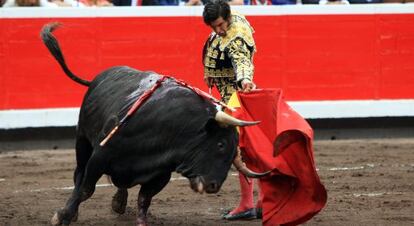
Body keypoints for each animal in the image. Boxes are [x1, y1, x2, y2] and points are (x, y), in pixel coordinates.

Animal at [40, 22, 258, 225]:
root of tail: (100, 76)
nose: (214, 186)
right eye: (220, 144)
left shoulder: (161, 173)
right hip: (82, 140)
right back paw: (74, 212)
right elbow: (86, 188)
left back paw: (119, 203)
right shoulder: (100, 156)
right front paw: (62, 216)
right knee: (79, 175)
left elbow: (144, 198)